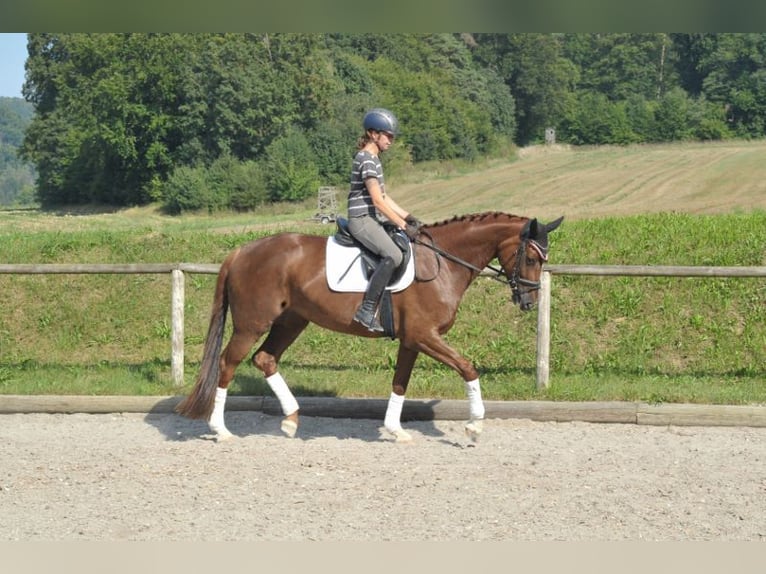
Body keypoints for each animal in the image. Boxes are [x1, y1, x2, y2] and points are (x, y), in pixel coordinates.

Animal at [177, 214, 568, 444]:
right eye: (530, 257)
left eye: (542, 260)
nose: (529, 301)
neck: (443, 262)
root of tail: (241, 251)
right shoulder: (425, 336)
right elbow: (468, 368)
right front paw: (474, 425)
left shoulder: (412, 339)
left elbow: (400, 382)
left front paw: (395, 430)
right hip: (252, 323)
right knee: (227, 364)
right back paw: (221, 429)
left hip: (293, 320)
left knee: (265, 359)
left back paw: (290, 420)